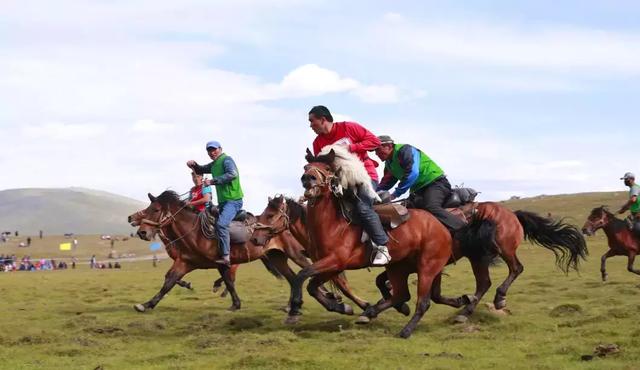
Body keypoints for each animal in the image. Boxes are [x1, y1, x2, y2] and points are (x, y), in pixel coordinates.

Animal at [126, 191, 312, 312]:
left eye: (156, 210)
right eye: (147, 209)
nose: (142, 232)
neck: (195, 232)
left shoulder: (221, 262)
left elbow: (228, 281)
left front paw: (235, 304)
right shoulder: (185, 262)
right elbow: (169, 281)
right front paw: (147, 304)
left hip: (296, 254)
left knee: (304, 270)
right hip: (277, 257)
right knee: (292, 278)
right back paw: (290, 305)